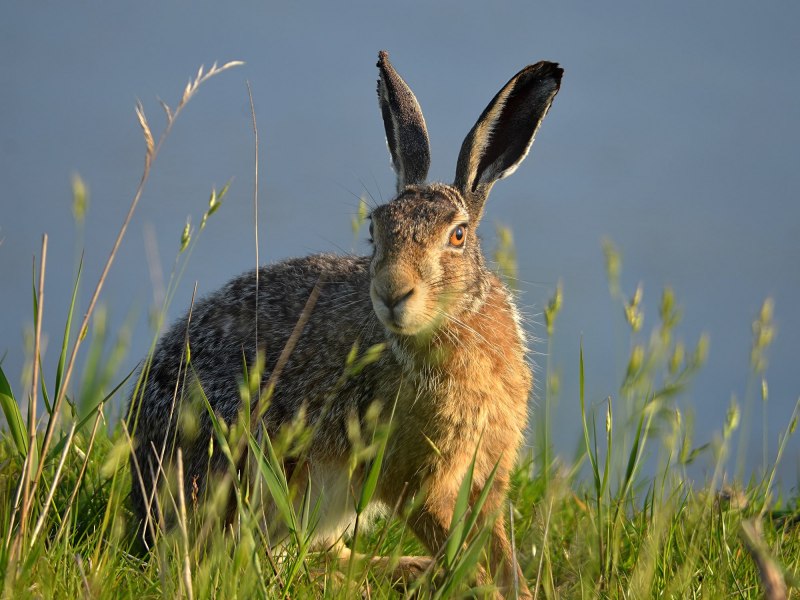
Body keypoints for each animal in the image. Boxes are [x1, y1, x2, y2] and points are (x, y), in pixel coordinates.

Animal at [127, 50, 562, 597]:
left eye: (459, 235)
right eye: (375, 229)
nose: (392, 292)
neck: (455, 325)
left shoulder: (486, 474)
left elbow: (499, 548)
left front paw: (514, 589)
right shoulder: (410, 479)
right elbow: (457, 546)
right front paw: (476, 585)